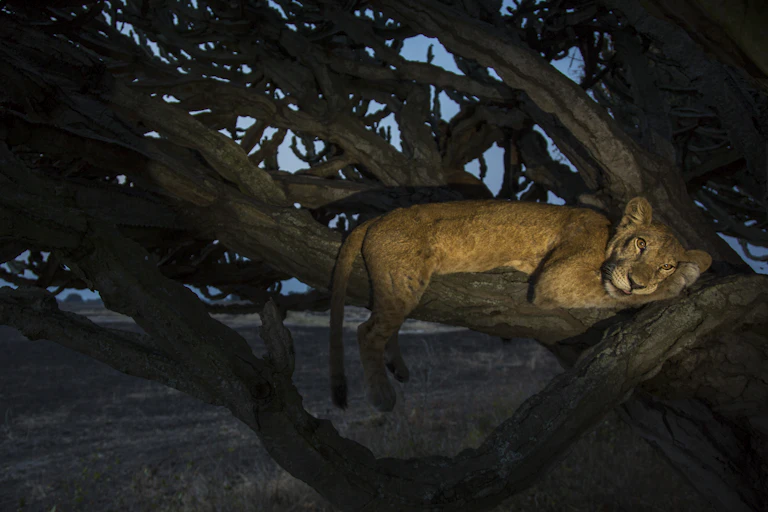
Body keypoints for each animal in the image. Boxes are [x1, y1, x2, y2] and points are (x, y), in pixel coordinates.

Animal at [329, 197, 712, 411]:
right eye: (640, 244)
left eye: (665, 264)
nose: (637, 282)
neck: (607, 233)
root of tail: (378, 218)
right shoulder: (556, 277)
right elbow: (620, 294)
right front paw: (682, 281)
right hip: (404, 277)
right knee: (367, 331)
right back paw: (382, 395)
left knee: (384, 323)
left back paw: (398, 367)